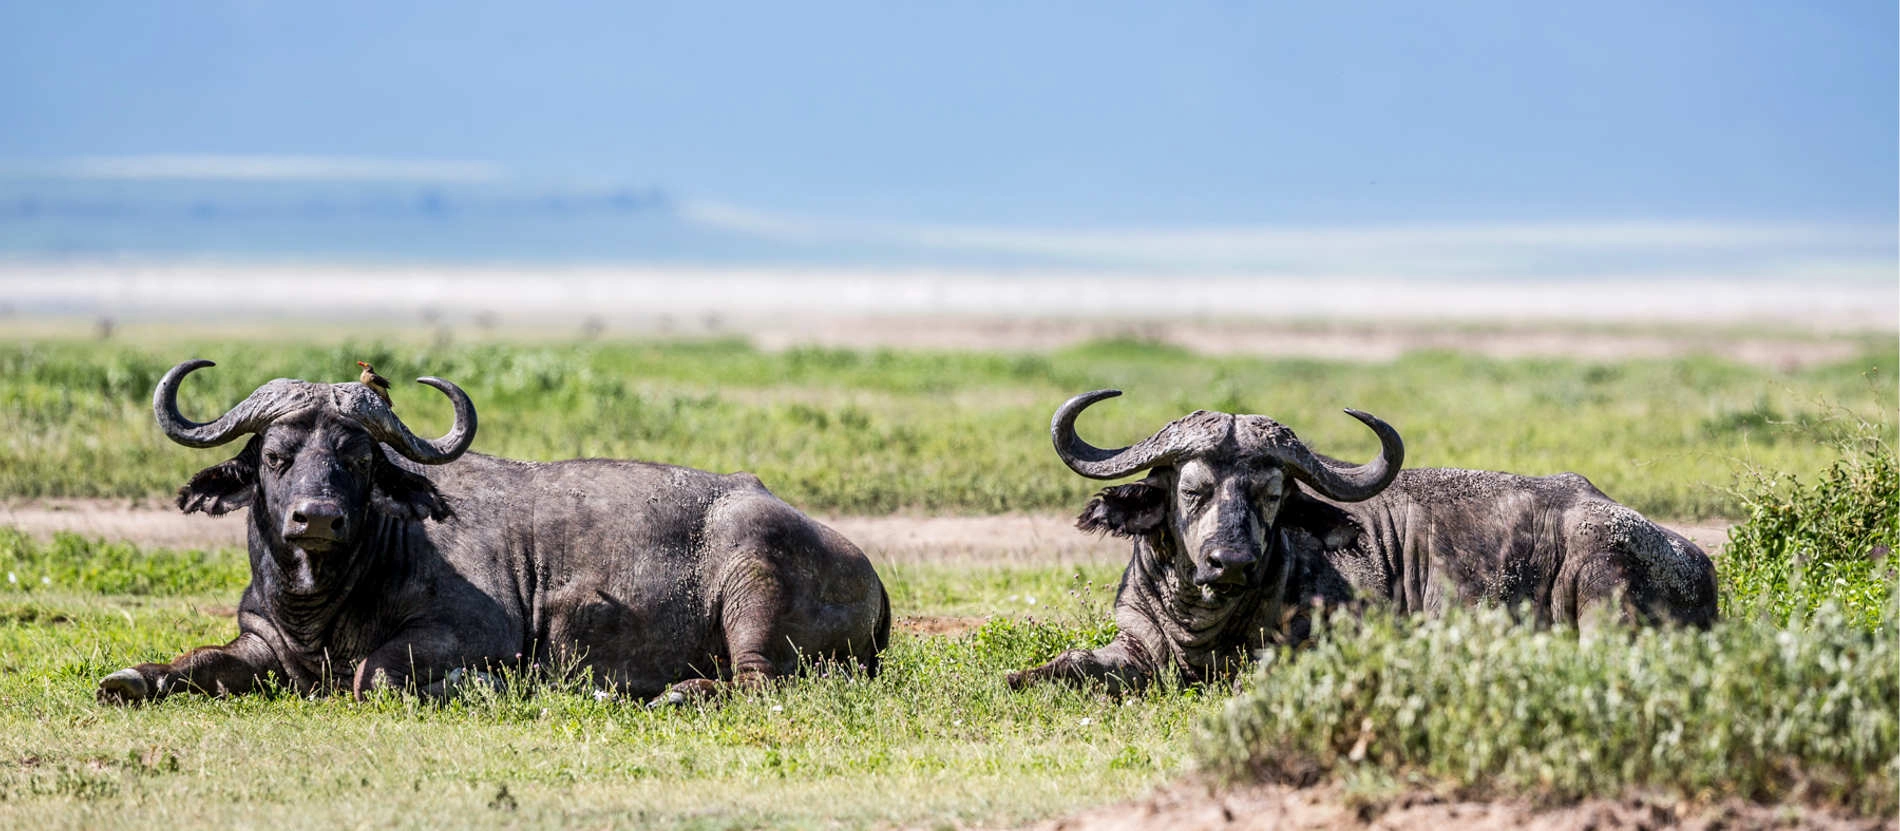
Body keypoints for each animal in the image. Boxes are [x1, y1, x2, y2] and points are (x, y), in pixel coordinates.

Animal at [92, 359, 885, 703]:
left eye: (356, 458)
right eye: (275, 457)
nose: (316, 517)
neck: (327, 603)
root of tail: (871, 573)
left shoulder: (470, 633)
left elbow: (373, 673)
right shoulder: (263, 645)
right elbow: (195, 661)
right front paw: (132, 677)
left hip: (753, 587)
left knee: (756, 681)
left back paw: (671, 694)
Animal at [1010, 387, 1725, 692]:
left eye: (1272, 495)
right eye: (1192, 490)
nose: (1230, 560)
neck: (1204, 621)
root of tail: (1696, 560)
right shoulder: (1134, 643)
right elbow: (1059, 670)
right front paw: (1026, 674)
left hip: (1604, 591)